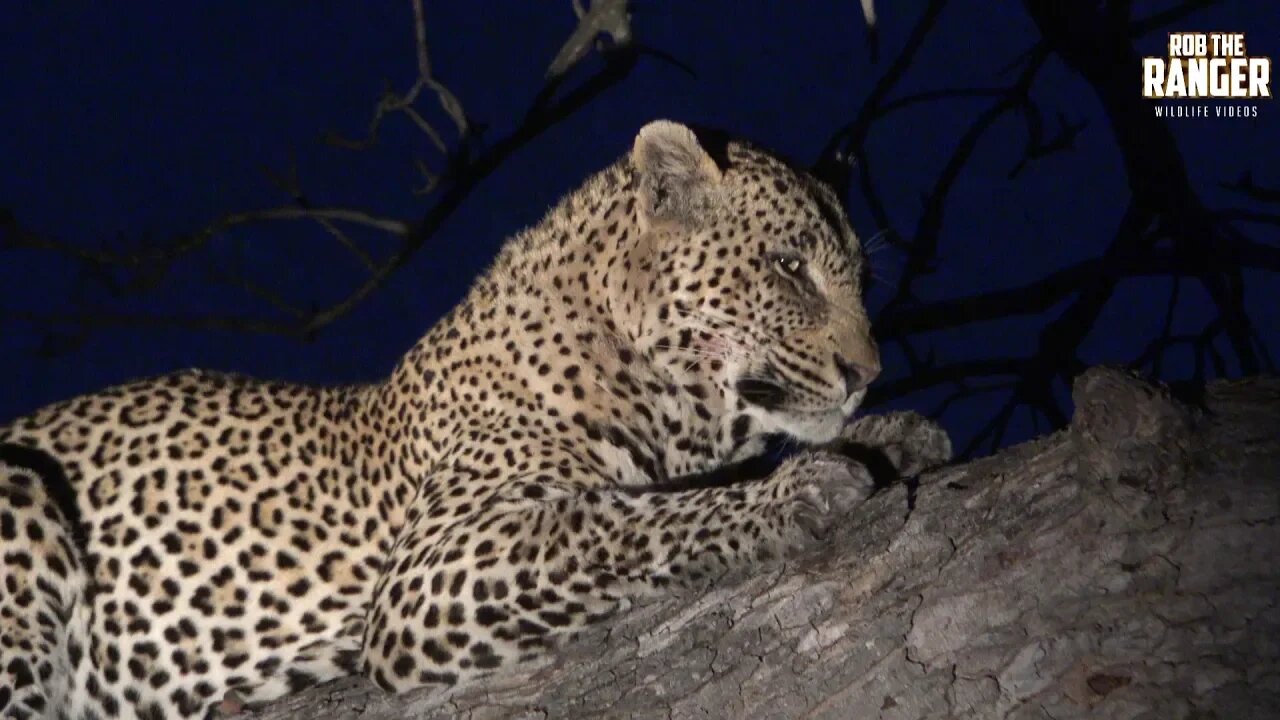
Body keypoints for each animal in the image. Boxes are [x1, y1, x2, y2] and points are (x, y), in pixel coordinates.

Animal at [0, 120, 952, 712]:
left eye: (857, 278)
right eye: (790, 268)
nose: (866, 374)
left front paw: (895, 435)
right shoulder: (431, 569)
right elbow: (613, 521)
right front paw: (800, 492)